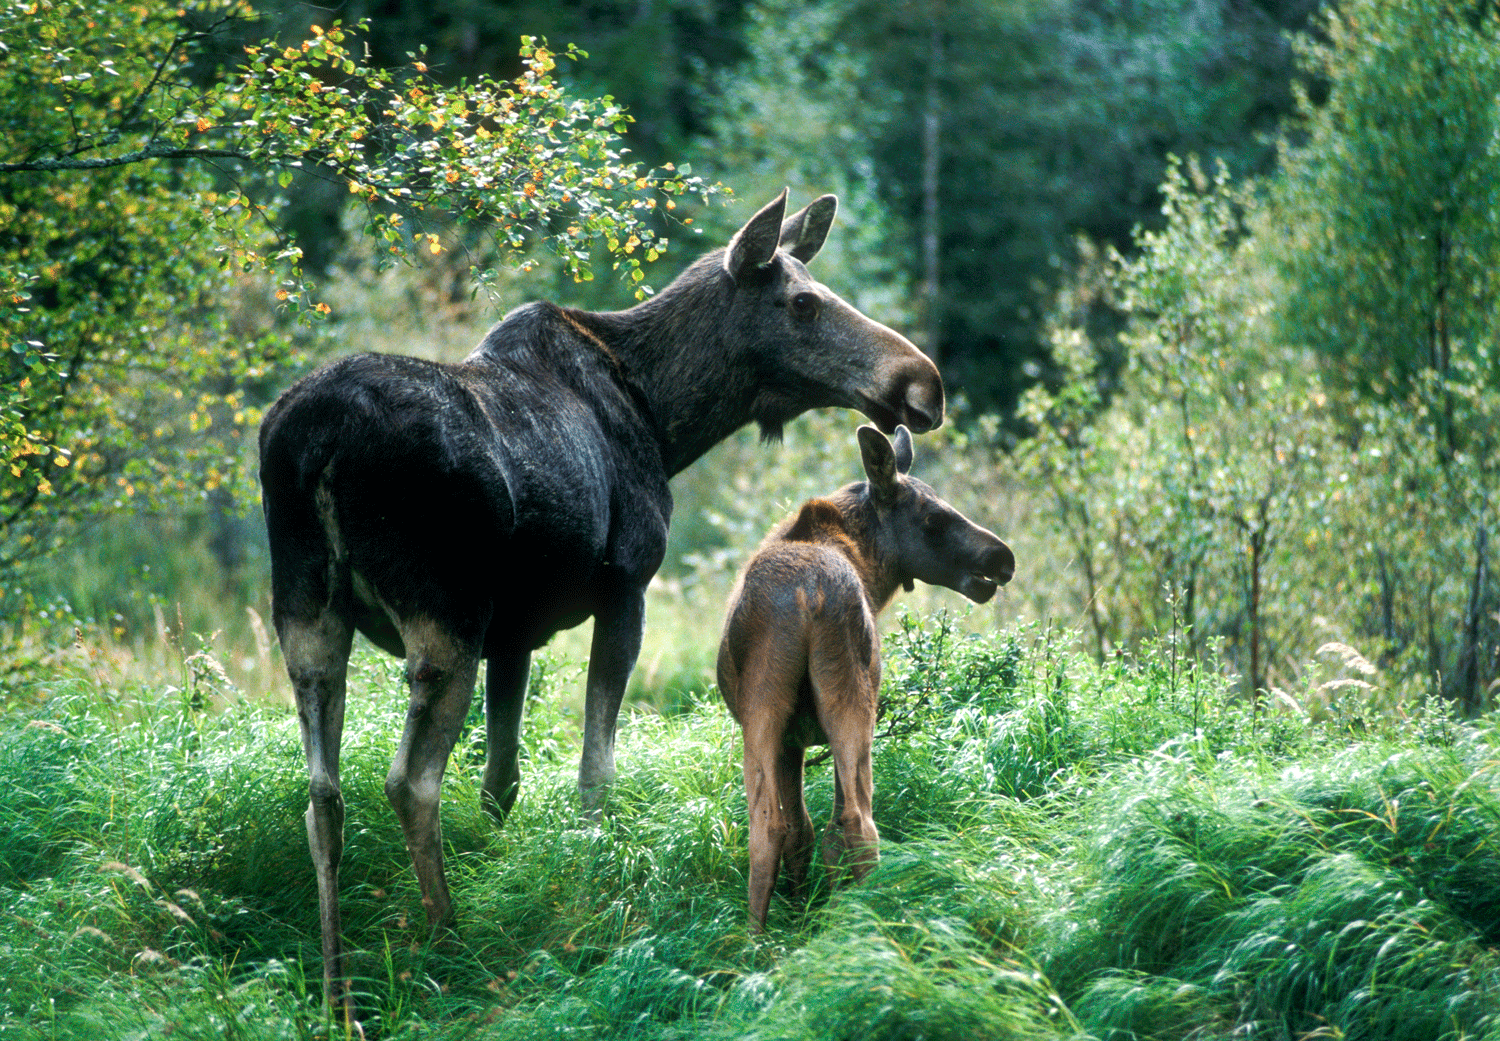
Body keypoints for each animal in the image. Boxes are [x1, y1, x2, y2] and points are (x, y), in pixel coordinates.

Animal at [256, 192, 936, 1014]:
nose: (922, 383)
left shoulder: (513, 634)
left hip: (306, 614)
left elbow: (502, 781)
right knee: (410, 781)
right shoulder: (624, 588)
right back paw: (447, 944)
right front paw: (589, 889)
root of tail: (316, 447)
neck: (667, 419)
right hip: (443, 619)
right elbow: (595, 770)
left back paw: (335, 987)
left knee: (321, 796)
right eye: (803, 302)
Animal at [717, 423, 1020, 930]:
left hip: (802, 705)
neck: (871, 569)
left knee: (799, 823)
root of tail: (810, 595)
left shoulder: (792, 741)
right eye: (932, 519)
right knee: (830, 823)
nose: (1003, 558)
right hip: (827, 700)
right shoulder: (795, 739)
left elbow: (806, 828)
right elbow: (806, 829)